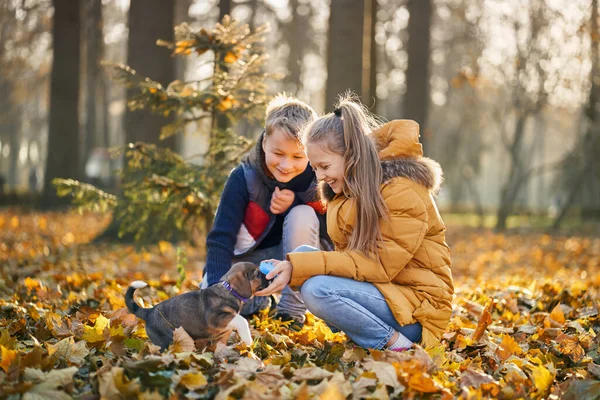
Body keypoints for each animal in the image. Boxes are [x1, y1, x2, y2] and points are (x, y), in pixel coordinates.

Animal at [126, 260, 270, 348]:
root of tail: (148, 312)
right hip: (165, 340)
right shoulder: (217, 318)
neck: (229, 290)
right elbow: (242, 320)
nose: (269, 278)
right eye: (257, 274)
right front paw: (248, 341)